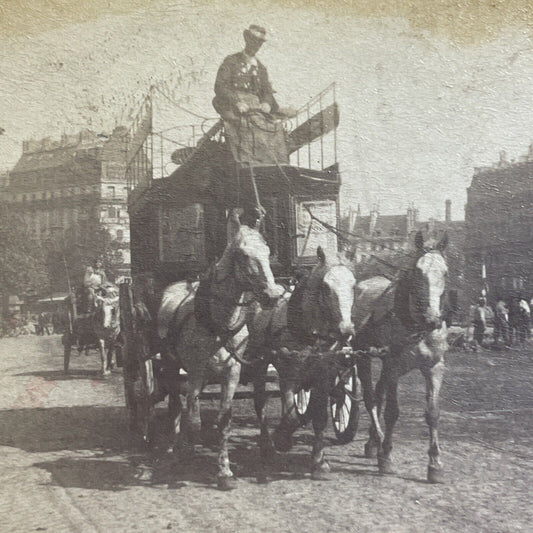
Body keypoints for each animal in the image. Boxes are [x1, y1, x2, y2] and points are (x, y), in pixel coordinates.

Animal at [354, 229, 448, 482]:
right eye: (417, 272)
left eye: (445, 272)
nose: (432, 319)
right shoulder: (394, 367)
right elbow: (392, 412)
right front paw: (386, 456)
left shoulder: (434, 367)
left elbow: (433, 413)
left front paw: (435, 463)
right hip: (363, 356)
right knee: (370, 397)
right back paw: (378, 442)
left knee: (378, 393)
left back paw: (372, 442)